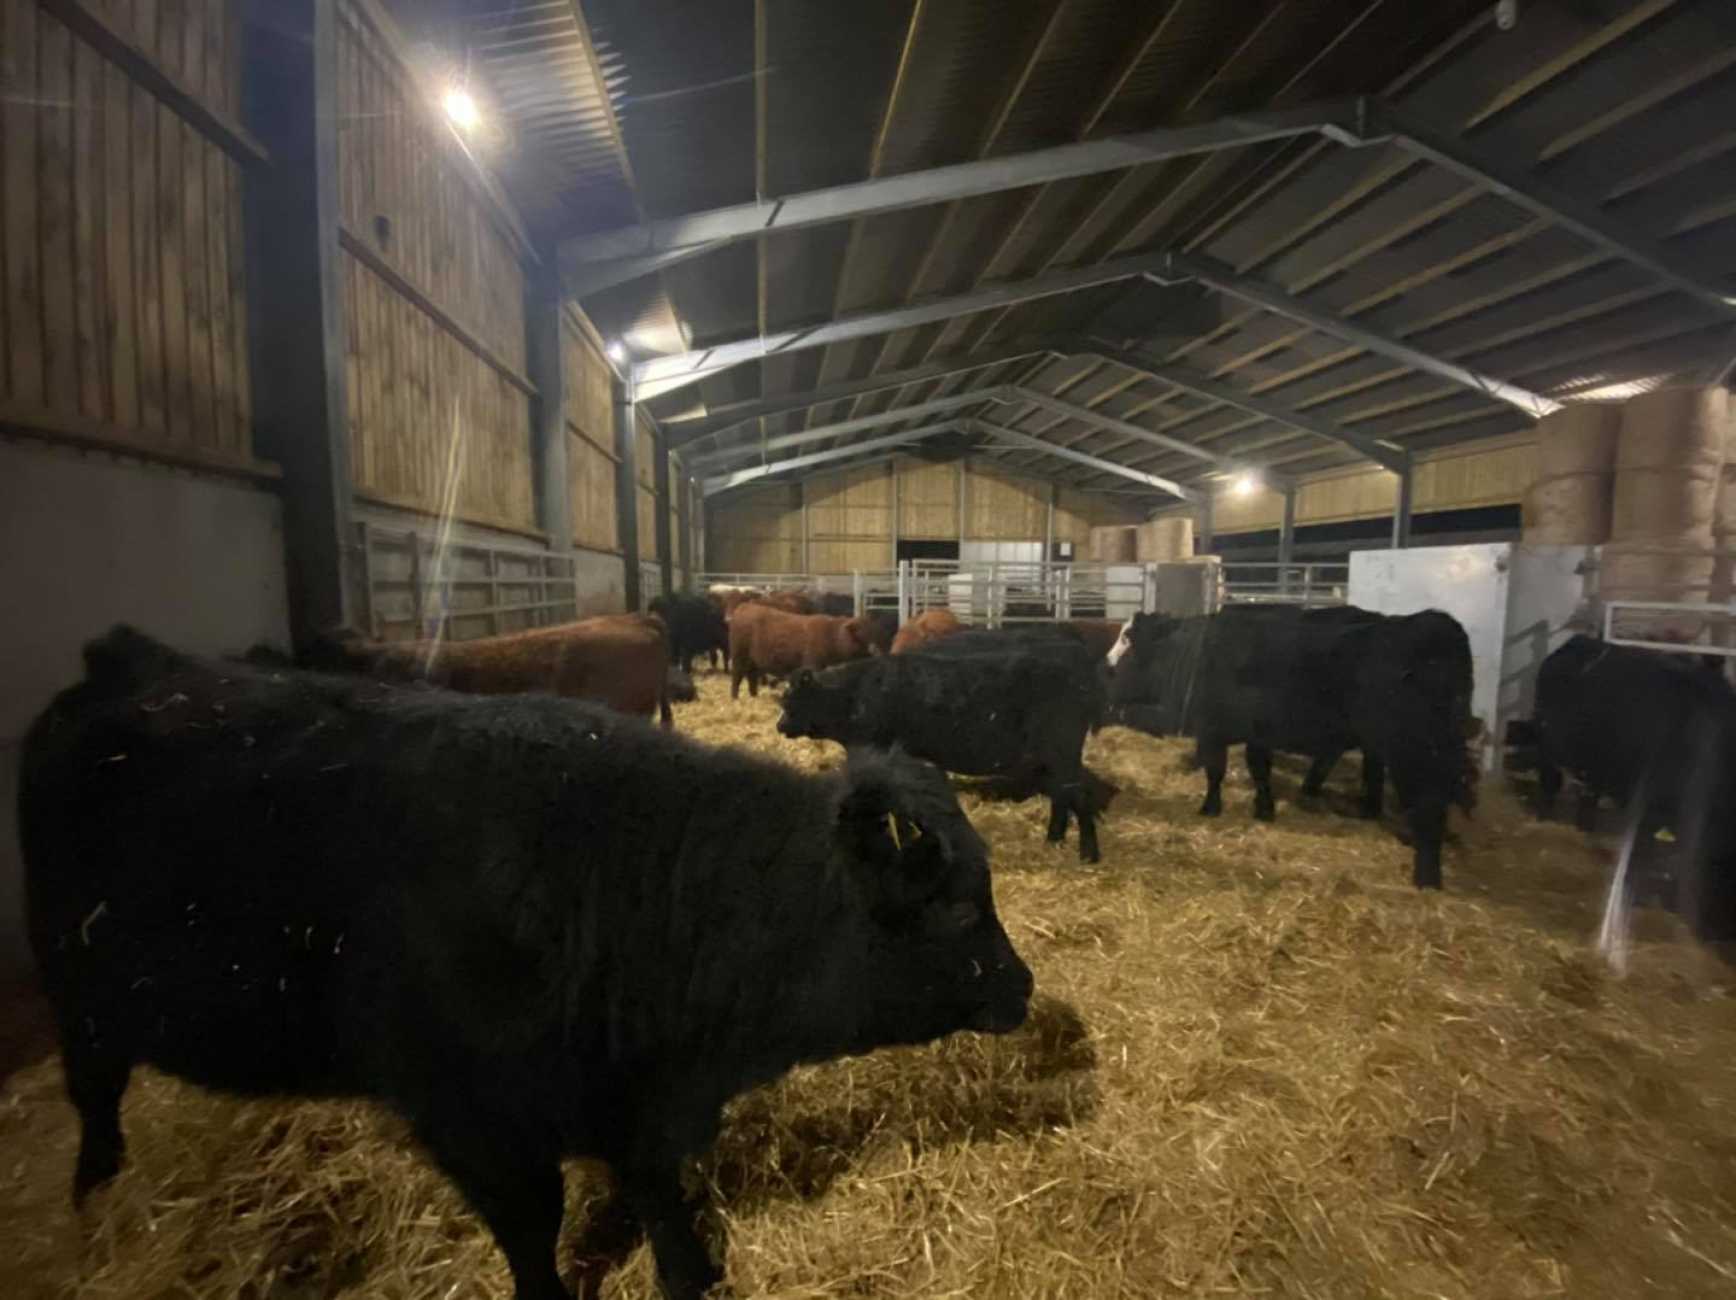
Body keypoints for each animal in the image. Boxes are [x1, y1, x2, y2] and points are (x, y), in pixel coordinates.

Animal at [725, 600, 874, 694]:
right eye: (860, 635)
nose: (872, 651)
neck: (830, 636)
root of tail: (744, 606)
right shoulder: (813, 666)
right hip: (739, 657)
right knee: (736, 679)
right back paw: (735, 699)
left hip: (753, 663)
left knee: (751, 679)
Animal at [784, 638, 1104, 860]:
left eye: (791, 700)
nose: (780, 724)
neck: (855, 696)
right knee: (1062, 797)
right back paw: (1054, 840)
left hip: (1062, 753)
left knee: (1078, 796)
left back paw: (1089, 854)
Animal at [1104, 604, 1472, 888]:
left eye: (1127, 639)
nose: (1106, 668)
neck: (1194, 654)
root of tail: (1434, 624)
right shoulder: (1255, 734)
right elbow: (1259, 769)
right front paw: (1264, 809)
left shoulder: (1212, 729)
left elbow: (1216, 771)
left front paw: (1210, 808)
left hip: (1415, 751)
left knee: (1428, 804)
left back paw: (1426, 876)